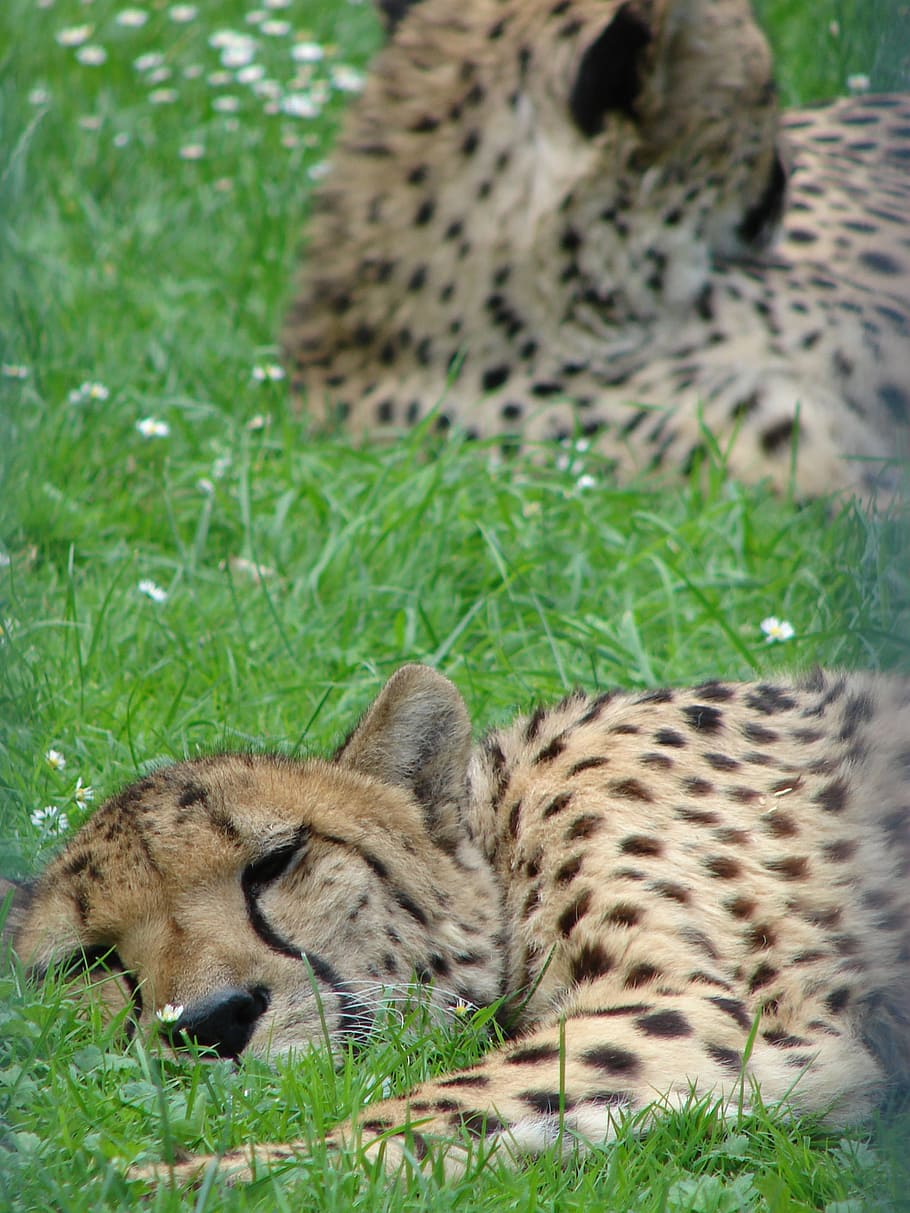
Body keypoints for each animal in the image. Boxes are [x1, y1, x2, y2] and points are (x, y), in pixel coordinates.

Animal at [7, 662, 910, 1184]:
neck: (507, 838)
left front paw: (164, 1180)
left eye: (278, 860)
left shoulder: (720, 1010)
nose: (210, 1023)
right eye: (87, 962)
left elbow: (408, 1111)